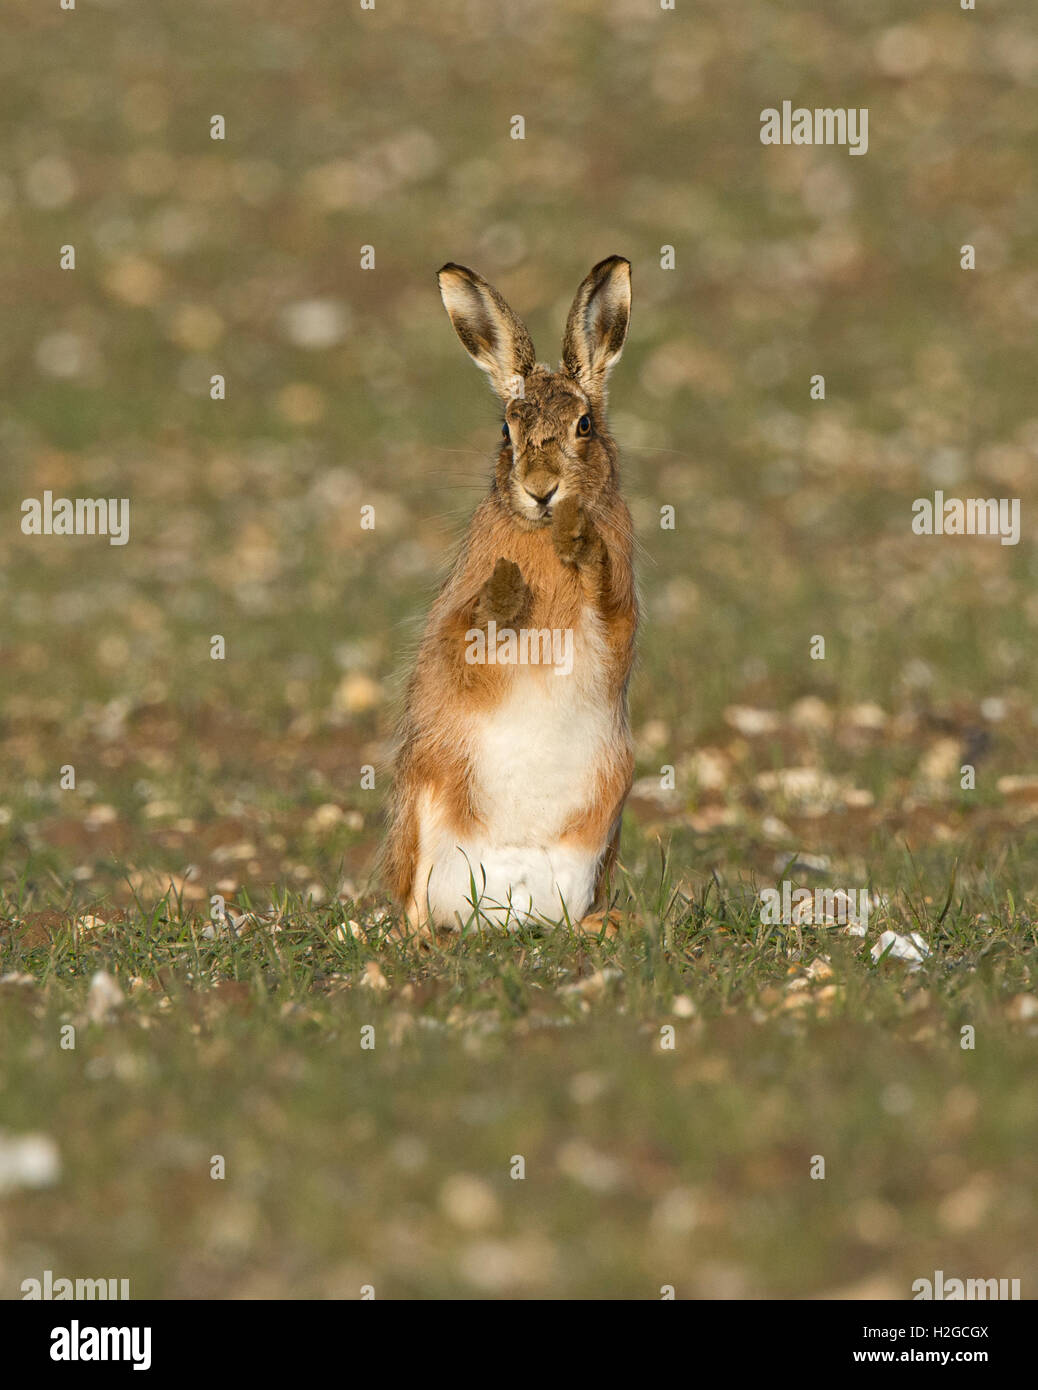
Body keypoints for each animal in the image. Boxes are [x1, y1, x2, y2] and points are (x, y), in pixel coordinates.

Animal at [384, 256, 637, 934]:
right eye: (506, 430)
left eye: (585, 426)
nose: (541, 489)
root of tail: (505, 912)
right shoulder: (457, 641)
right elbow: (468, 640)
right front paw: (505, 587)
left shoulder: (621, 619)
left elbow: (610, 613)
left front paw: (582, 546)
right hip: (423, 800)